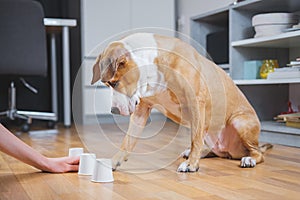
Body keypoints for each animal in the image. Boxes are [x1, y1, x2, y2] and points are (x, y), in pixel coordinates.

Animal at [91, 32, 270, 172]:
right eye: (107, 85)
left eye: (115, 83)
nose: (113, 110)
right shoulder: (141, 109)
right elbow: (128, 140)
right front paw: (114, 160)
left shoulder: (196, 101)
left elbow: (195, 139)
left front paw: (191, 165)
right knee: (215, 149)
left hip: (239, 121)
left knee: (257, 153)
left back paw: (249, 159)